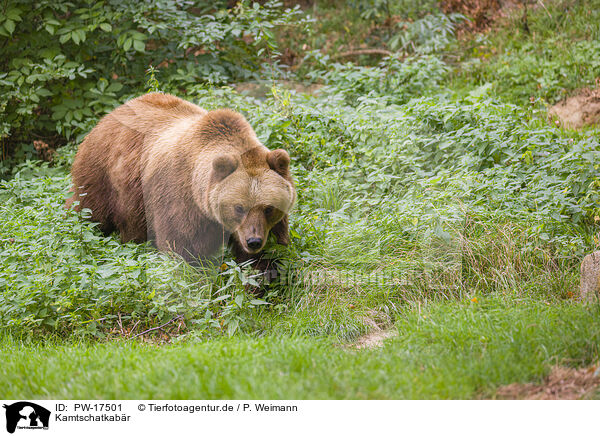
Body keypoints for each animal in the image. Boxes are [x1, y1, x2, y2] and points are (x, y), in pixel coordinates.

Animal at [67, 93, 296, 270]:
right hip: (103, 178)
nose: (254, 241)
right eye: (239, 207)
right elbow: (181, 248)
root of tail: (107, 116)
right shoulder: (178, 200)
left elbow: (265, 255)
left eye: (268, 208)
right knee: (90, 214)